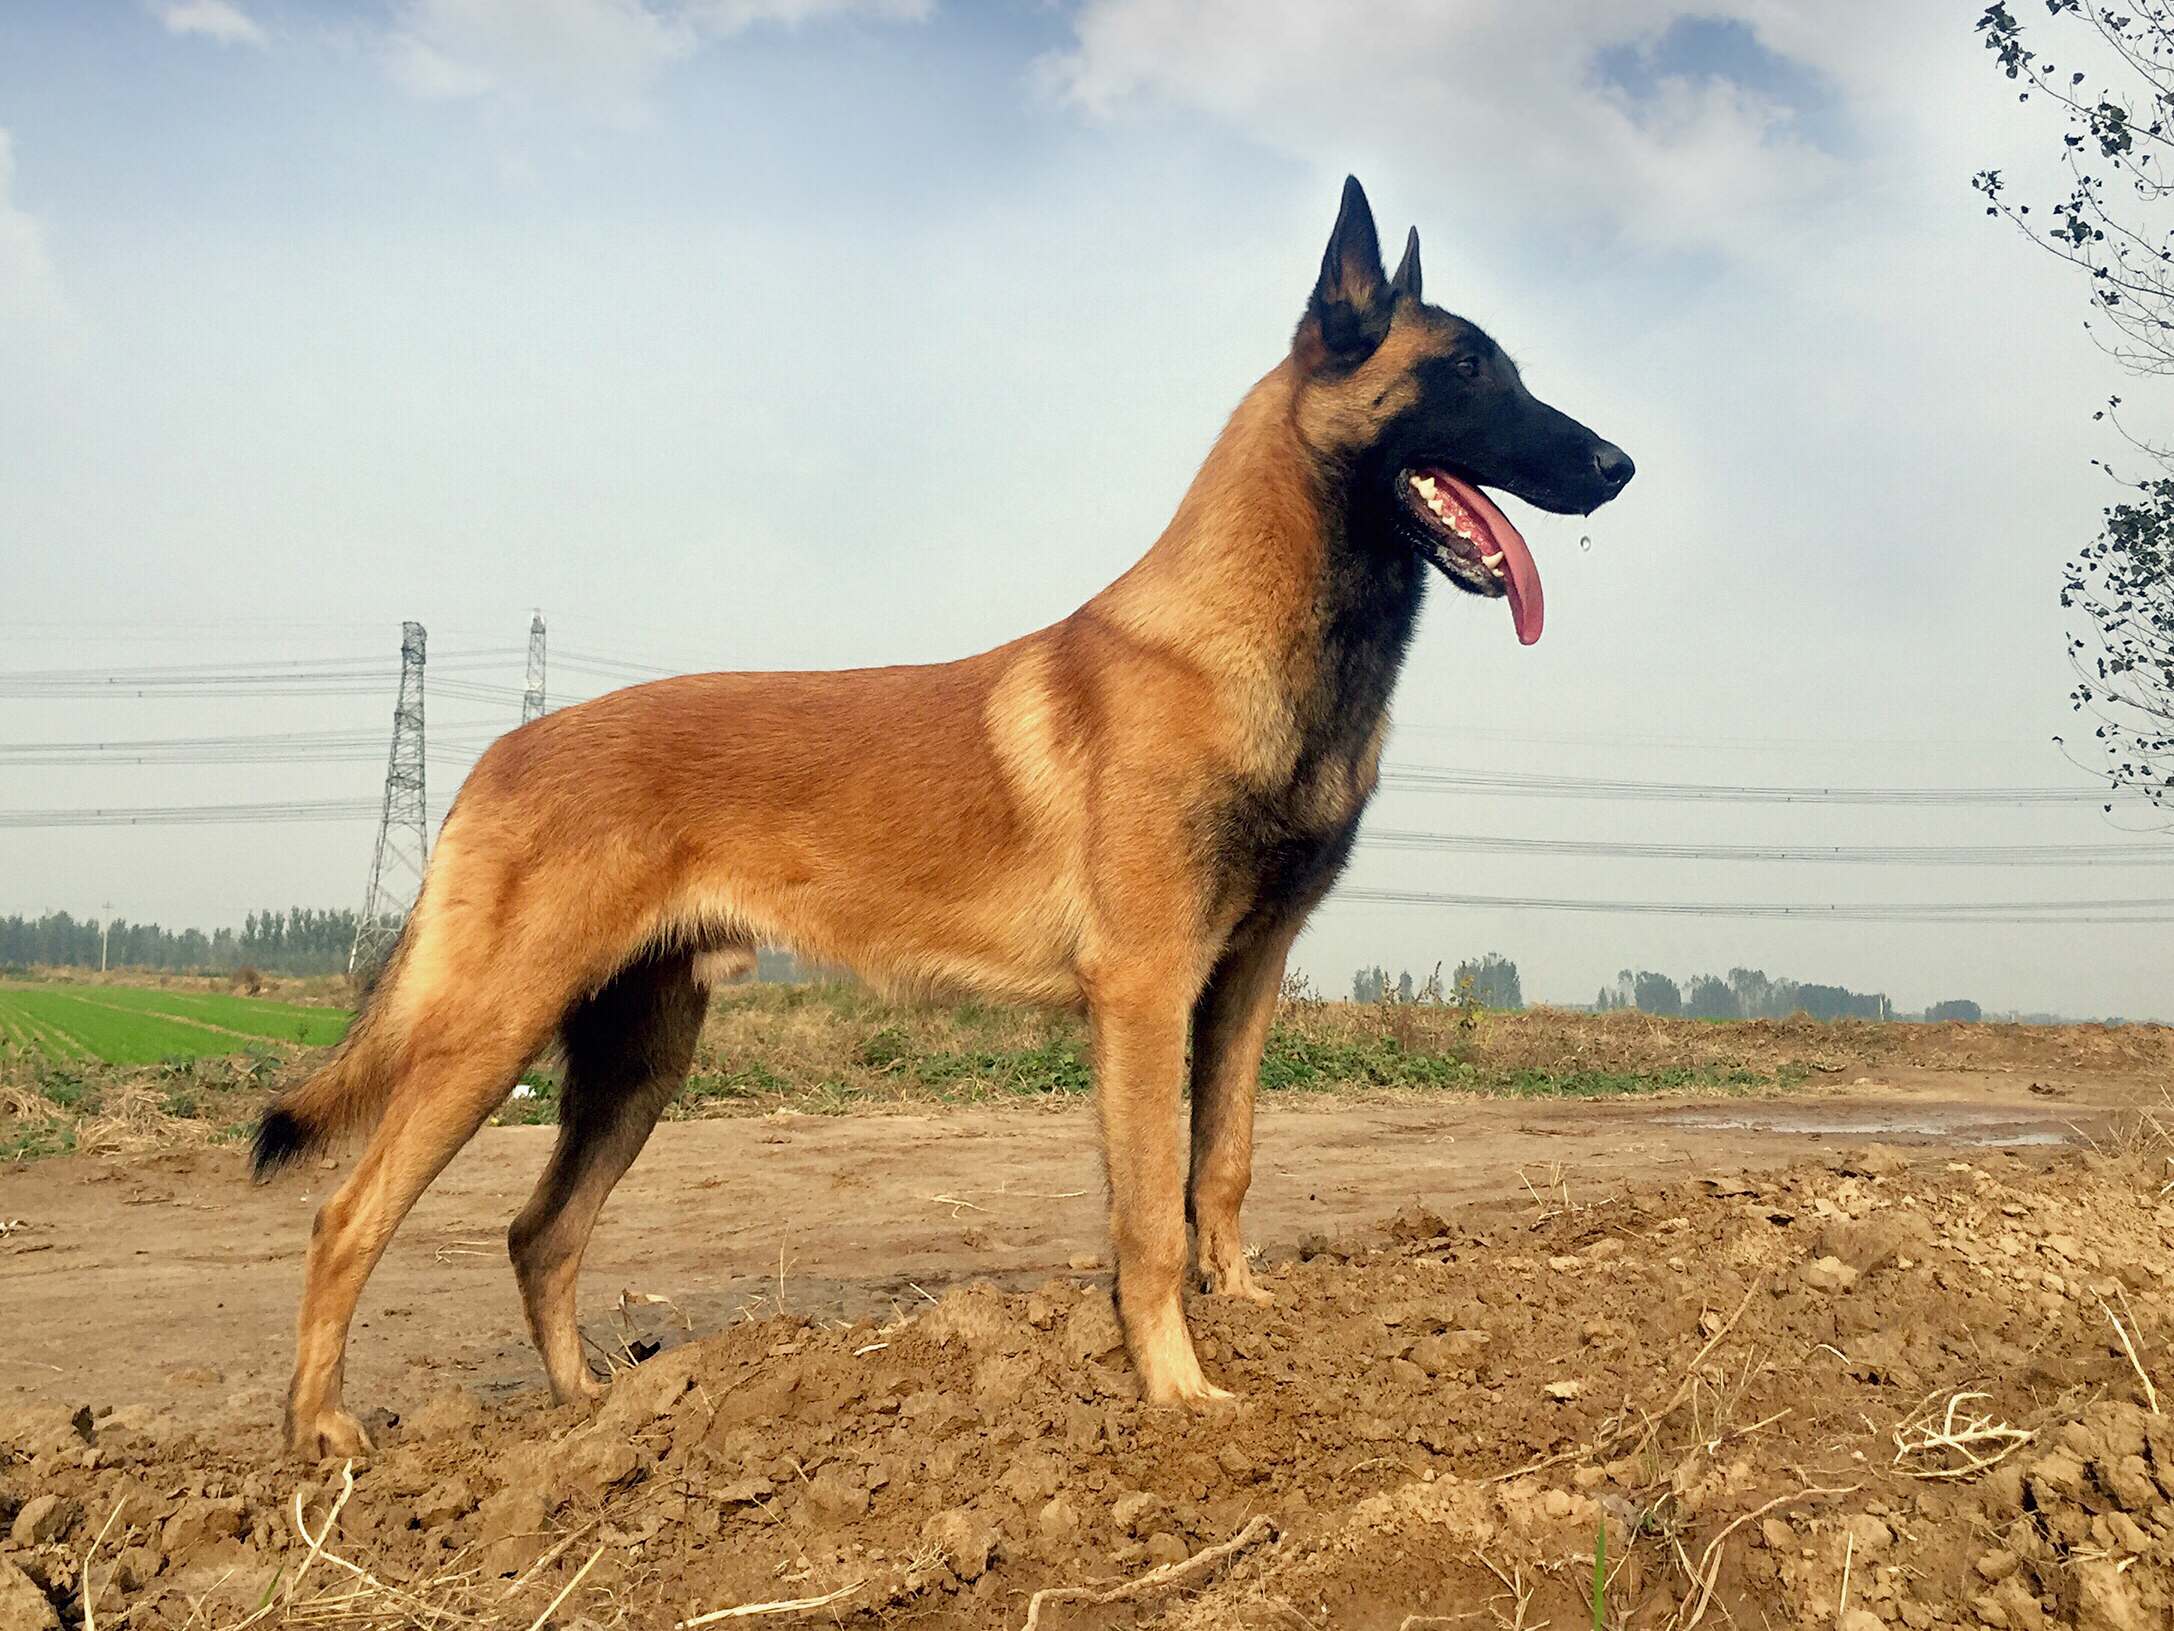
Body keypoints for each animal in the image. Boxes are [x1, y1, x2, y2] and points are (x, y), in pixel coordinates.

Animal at [254, 176, 1634, 1452]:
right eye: (1464, 370)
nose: (1616, 468)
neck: (1252, 644)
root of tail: (499, 749)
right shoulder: (1145, 990)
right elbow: (1147, 1209)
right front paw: (1175, 1387)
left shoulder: (1243, 978)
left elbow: (1225, 1162)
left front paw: (1241, 1306)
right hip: (494, 1034)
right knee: (345, 1216)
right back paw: (323, 1433)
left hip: (638, 1059)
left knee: (539, 1230)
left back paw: (593, 1411)